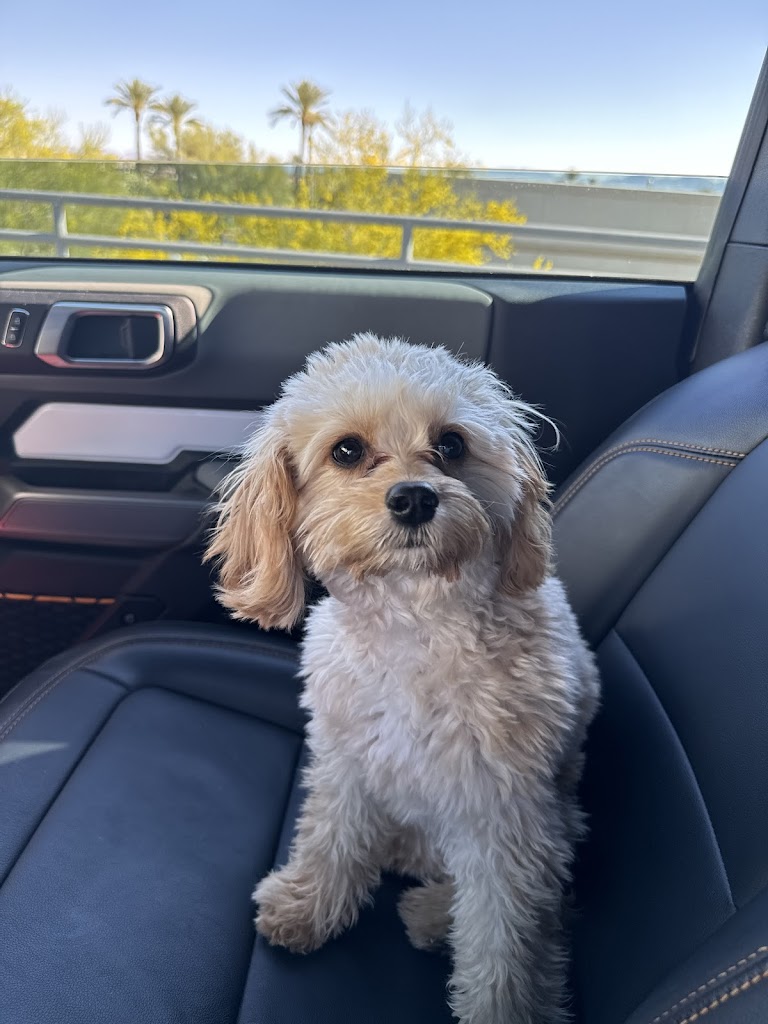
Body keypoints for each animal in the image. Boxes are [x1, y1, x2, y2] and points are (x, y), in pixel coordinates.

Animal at [205, 334, 599, 1024]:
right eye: (347, 450)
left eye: (452, 444)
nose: (414, 497)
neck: (413, 621)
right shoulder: (346, 756)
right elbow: (331, 835)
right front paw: (308, 905)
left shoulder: (506, 811)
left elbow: (507, 936)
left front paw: (503, 1008)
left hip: (557, 815)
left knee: (542, 901)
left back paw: (433, 913)